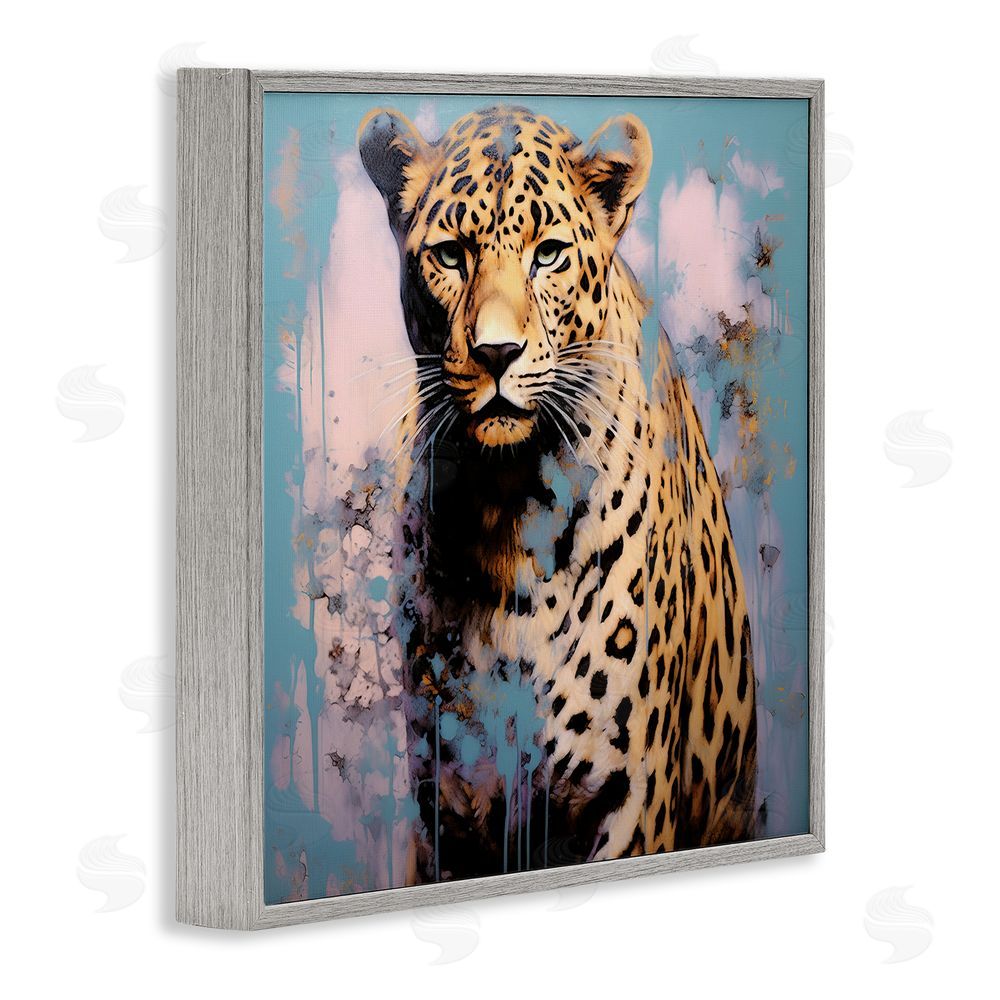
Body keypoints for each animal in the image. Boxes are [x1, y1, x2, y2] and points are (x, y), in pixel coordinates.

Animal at [358, 104, 758, 881]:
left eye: (547, 254)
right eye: (450, 255)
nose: (496, 354)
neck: (504, 509)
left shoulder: (624, 798)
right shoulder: (448, 807)